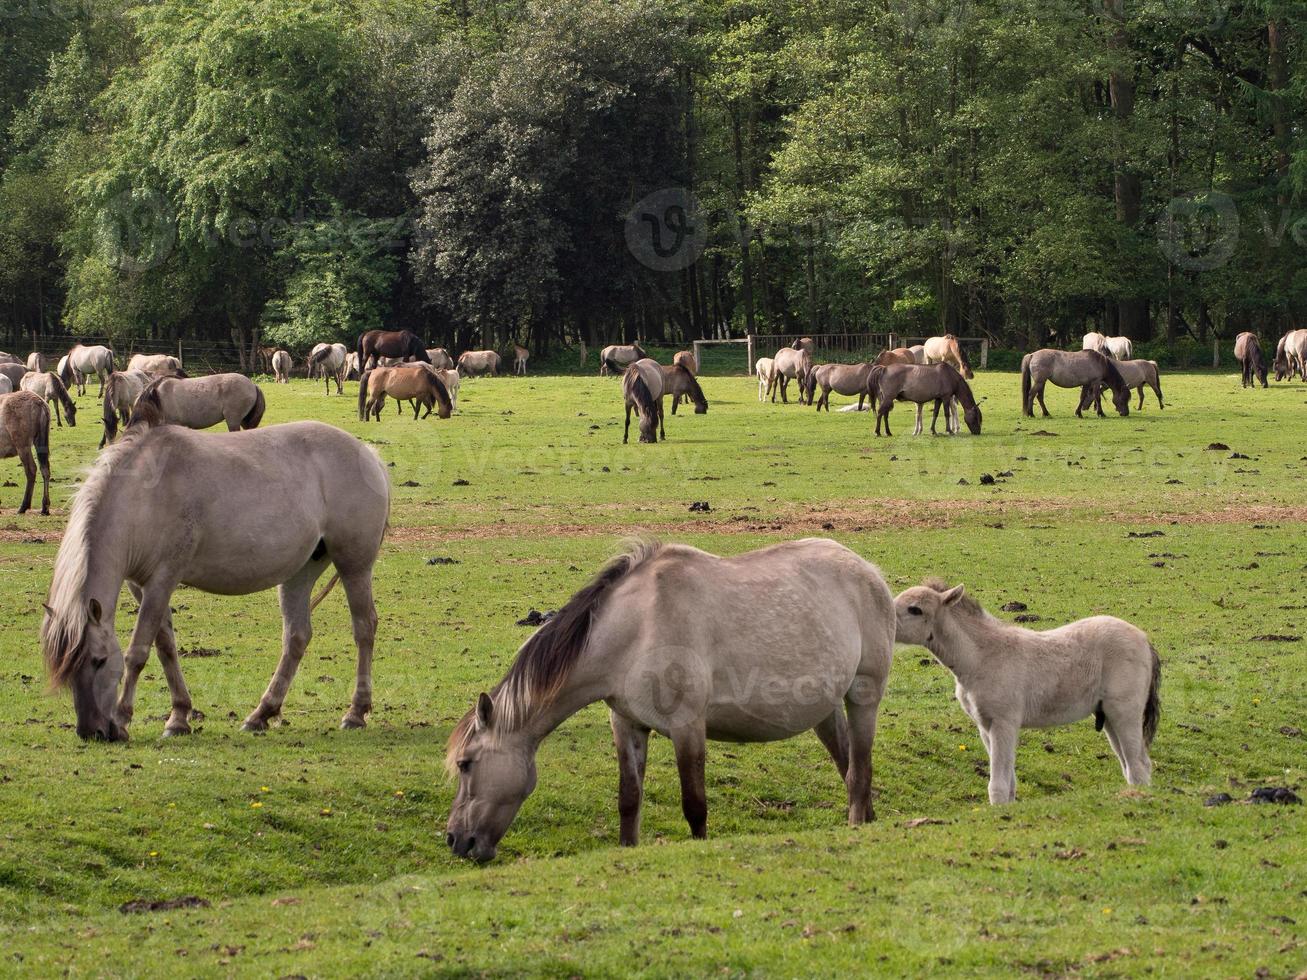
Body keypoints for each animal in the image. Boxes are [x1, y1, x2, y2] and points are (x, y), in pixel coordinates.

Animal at [40, 418, 386, 742]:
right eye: (69, 669)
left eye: (99, 660)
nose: (92, 731)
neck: (145, 496)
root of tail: (368, 453)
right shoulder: (141, 586)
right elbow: (165, 646)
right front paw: (178, 718)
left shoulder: (163, 580)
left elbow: (138, 652)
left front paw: (124, 718)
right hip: (300, 573)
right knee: (296, 636)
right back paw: (261, 714)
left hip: (354, 566)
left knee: (364, 628)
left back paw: (355, 713)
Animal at [444, 540, 893, 862]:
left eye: (466, 763)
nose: (454, 839)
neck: (636, 629)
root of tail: (869, 571)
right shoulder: (627, 725)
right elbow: (629, 800)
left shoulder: (687, 727)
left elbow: (695, 805)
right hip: (827, 711)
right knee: (849, 768)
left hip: (862, 697)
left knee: (859, 773)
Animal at [893, 580, 1160, 799]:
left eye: (915, 609)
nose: (887, 625)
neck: (982, 657)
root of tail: (1144, 639)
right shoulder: (985, 726)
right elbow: (1009, 783)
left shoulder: (1004, 723)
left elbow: (998, 785)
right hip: (1109, 718)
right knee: (1135, 764)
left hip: (1124, 712)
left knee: (1137, 766)